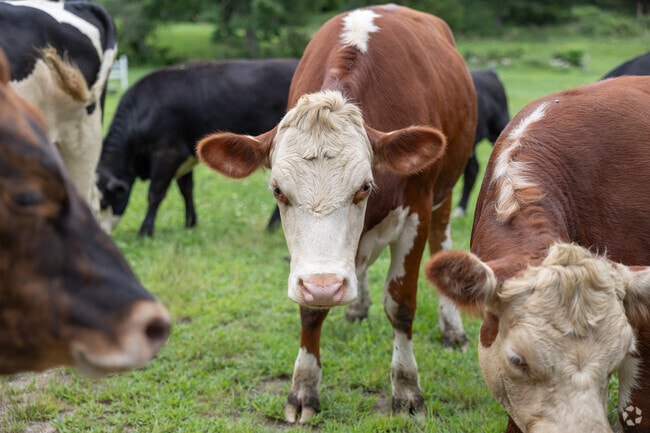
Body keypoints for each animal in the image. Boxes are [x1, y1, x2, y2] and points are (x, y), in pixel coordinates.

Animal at [97, 58, 298, 237]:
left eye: (104, 201)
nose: (103, 232)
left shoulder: (167, 154)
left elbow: (155, 193)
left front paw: (145, 230)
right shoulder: (184, 157)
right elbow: (186, 189)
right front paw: (190, 223)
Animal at [197, 4, 477, 423]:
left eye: (364, 186)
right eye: (277, 190)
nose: (326, 286)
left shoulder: (416, 214)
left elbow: (401, 305)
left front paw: (407, 388)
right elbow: (310, 312)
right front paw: (303, 388)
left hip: (444, 195)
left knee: (441, 247)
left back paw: (451, 328)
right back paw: (356, 308)